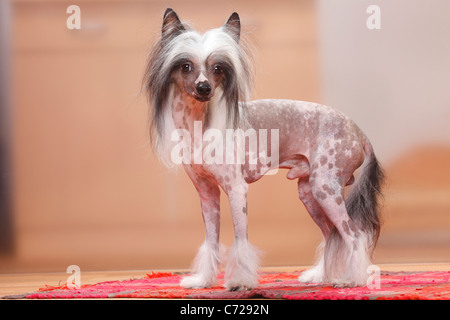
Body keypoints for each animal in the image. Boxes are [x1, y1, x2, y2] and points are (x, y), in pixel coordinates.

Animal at [144, 8, 384, 292]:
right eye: (185, 66)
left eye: (217, 68)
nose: (204, 88)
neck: (199, 126)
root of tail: (358, 131)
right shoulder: (207, 195)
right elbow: (211, 241)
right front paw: (203, 280)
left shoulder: (236, 189)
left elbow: (240, 240)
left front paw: (240, 282)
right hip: (309, 192)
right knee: (332, 235)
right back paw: (320, 276)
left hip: (326, 188)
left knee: (353, 234)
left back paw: (353, 280)